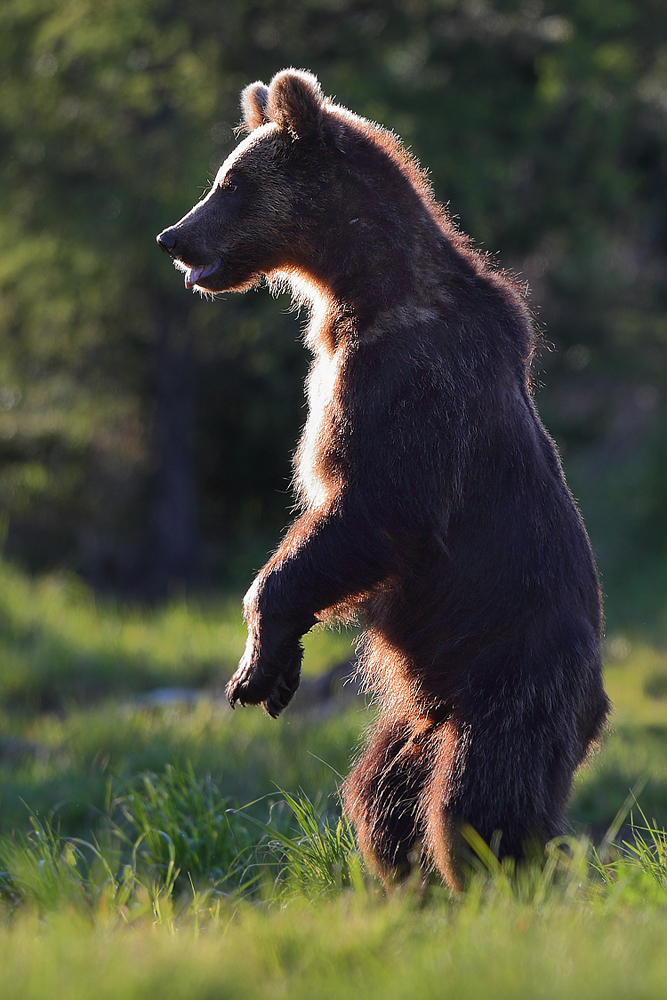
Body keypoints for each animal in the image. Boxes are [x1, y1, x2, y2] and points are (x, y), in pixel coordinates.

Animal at [157, 70, 612, 892]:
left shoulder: (411, 383)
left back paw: (505, 885)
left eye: (230, 184)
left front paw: (256, 660)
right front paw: (273, 670)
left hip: (514, 676)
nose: (172, 238)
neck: (358, 293)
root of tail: (596, 706)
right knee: (383, 797)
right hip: (414, 711)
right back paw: (408, 881)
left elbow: (375, 509)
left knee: (480, 800)